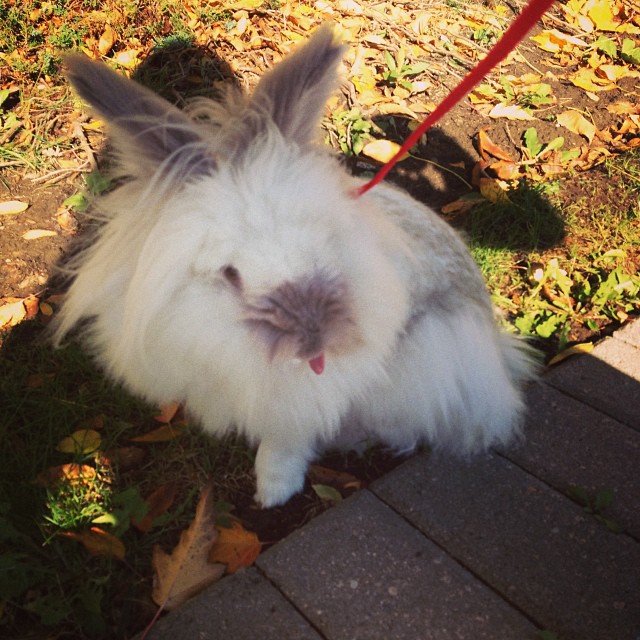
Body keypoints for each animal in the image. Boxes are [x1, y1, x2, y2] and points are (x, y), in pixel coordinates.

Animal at [53, 23, 536, 504]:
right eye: (231, 274)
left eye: (318, 244)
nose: (314, 342)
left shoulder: (308, 397)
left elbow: (288, 439)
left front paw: (273, 492)